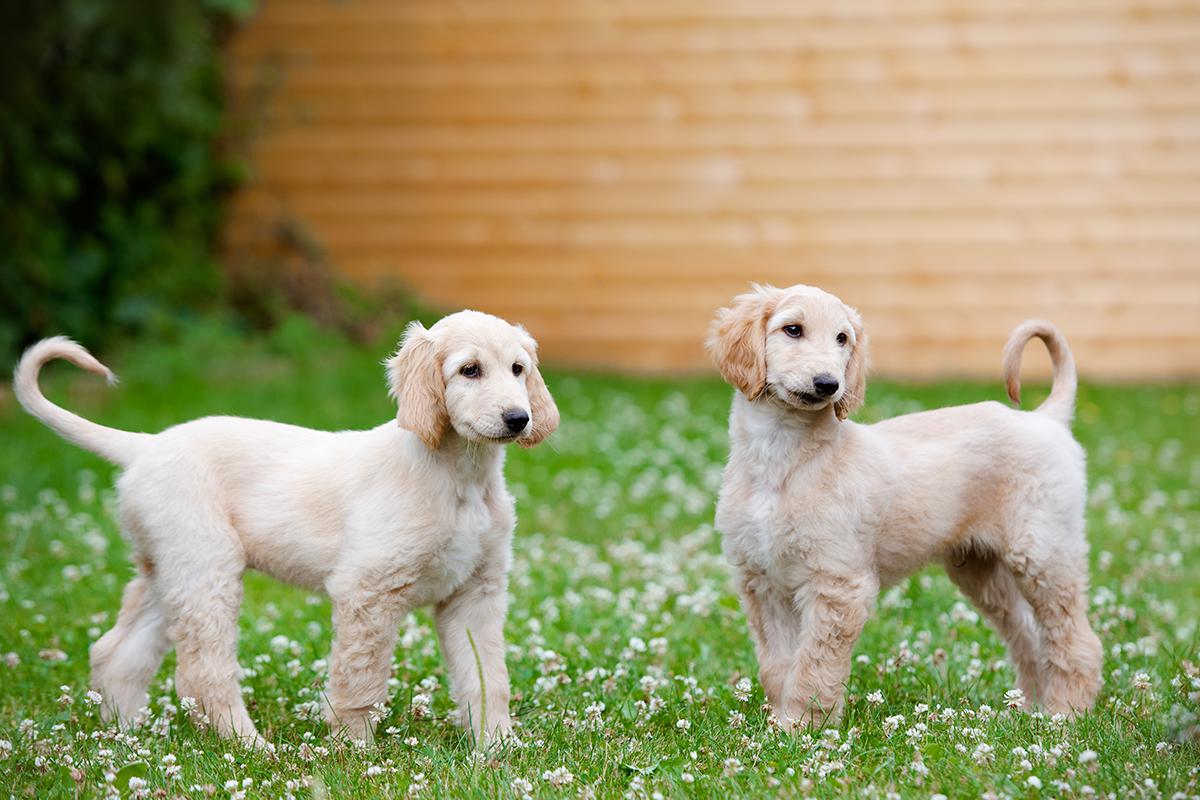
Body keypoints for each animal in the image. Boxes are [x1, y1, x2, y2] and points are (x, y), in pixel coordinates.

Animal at [12, 309, 556, 748]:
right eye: (470, 370)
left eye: (518, 369)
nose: (518, 418)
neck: (459, 477)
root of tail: (146, 445)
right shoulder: (367, 591)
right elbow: (360, 681)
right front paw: (355, 750)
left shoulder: (475, 593)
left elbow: (488, 677)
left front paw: (497, 748)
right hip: (207, 569)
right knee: (202, 672)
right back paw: (249, 745)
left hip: (170, 571)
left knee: (117, 652)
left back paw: (121, 736)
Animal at [705, 284, 1099, 729]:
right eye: (793, 329)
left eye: (842, 339)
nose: (828, 384)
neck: (784, 458)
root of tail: (1045, 418)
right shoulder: (762, 582)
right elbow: (778, 665)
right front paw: (777, 726)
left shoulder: (838, 583)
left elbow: (813, 667)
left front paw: (803, 725)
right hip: (984, 570)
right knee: (1029, 637)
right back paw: (1029, 709)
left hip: (1044, 552)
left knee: (1077, 640)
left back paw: (1066, 712)